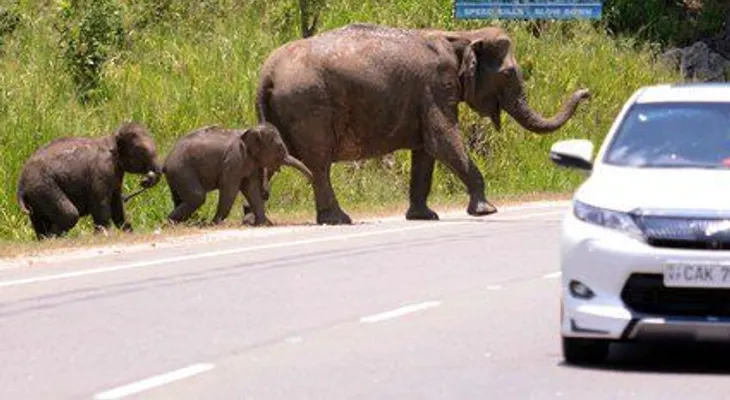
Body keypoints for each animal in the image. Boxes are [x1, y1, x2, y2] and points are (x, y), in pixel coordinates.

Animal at [17, 121, 162, 239]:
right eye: (141, 150)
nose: (145, 180)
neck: (112, 137)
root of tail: (20, 184)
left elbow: (117, 203)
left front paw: (128, 230)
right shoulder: (102, 170)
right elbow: (102, 202)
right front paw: (104, 235)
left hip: (35, 195)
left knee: (39, 220)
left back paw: (44, 238)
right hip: (43, 187)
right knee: (70, 215)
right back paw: (52, 238)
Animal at [162, 122, 314, 226]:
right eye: (280, 149)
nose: (309, 182)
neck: (250, 129)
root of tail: (165, 162)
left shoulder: (250, 161)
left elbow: (251, 188)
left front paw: (263, 224)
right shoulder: (234, 160)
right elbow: (230, 188)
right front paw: (215, 223)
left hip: (178, 173)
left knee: (180, 198)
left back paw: (182, 223)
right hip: (181, 169)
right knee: (197, 197)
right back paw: (171, 223)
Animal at [256, 23, 590, 225]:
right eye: (508, 74)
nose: (586, 92)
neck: (462, 35)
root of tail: (266, 73)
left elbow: (426, 152)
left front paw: (423, 216)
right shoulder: (436, 87)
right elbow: (443, 141)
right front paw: (487, 211)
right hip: (309, 106)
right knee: (320, 164)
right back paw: (339, 219)